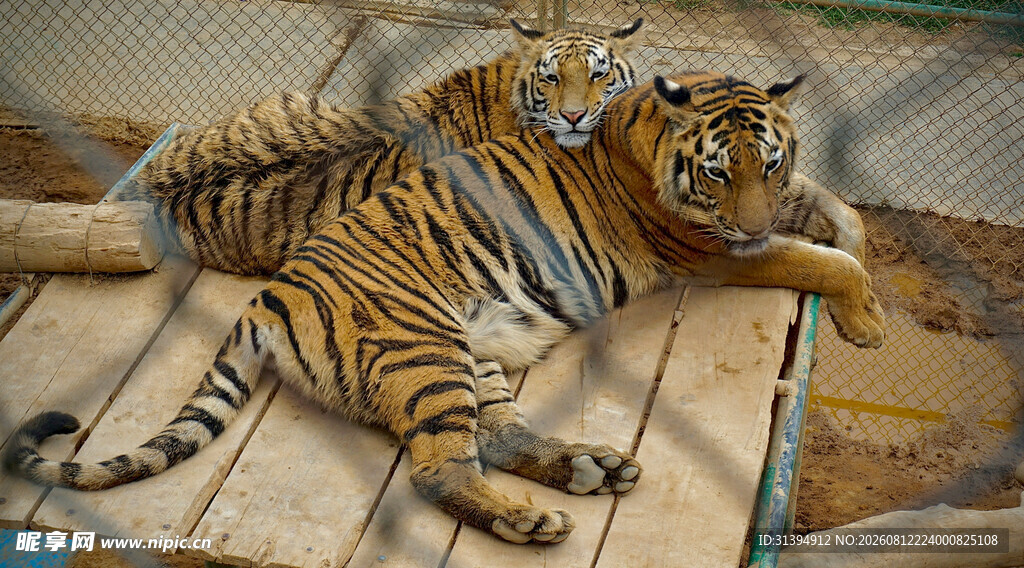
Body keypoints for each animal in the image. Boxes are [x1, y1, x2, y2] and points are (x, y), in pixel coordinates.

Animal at [6, 71, 885, 544]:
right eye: (716, 172)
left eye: (768, 162)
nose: (752, 221)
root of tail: (268, 295)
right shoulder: (710, 249)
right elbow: (821, 259)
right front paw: (867, 319)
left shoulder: (775, 209)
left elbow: (842, 216)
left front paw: (869, 289)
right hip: (424, 350)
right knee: (436, 471)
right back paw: (533, 523)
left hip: (475, 354)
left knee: (494, 435)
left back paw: (590, 467)